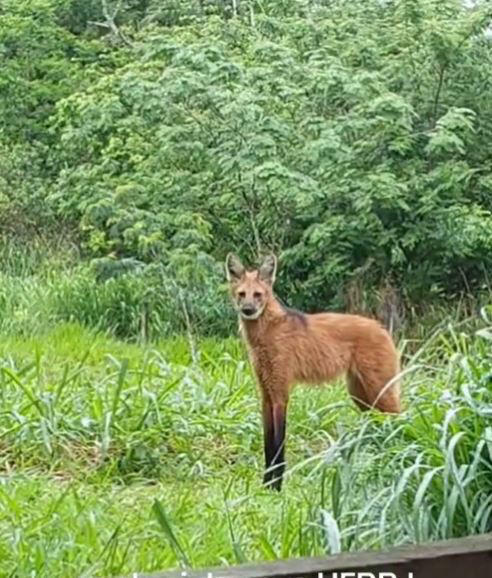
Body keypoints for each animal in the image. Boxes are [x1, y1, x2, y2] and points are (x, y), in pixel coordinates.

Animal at [226, 250, 400, 488]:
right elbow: (268, 446)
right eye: (242, 294)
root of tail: (382, 328)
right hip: (361, 396)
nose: (248, 310)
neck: (264, 334)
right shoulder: (266, 395)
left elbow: (278, 446)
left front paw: (276, 487)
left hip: (378, 391)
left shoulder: (280, 394)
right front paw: (265, 485)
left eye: (258, 295)